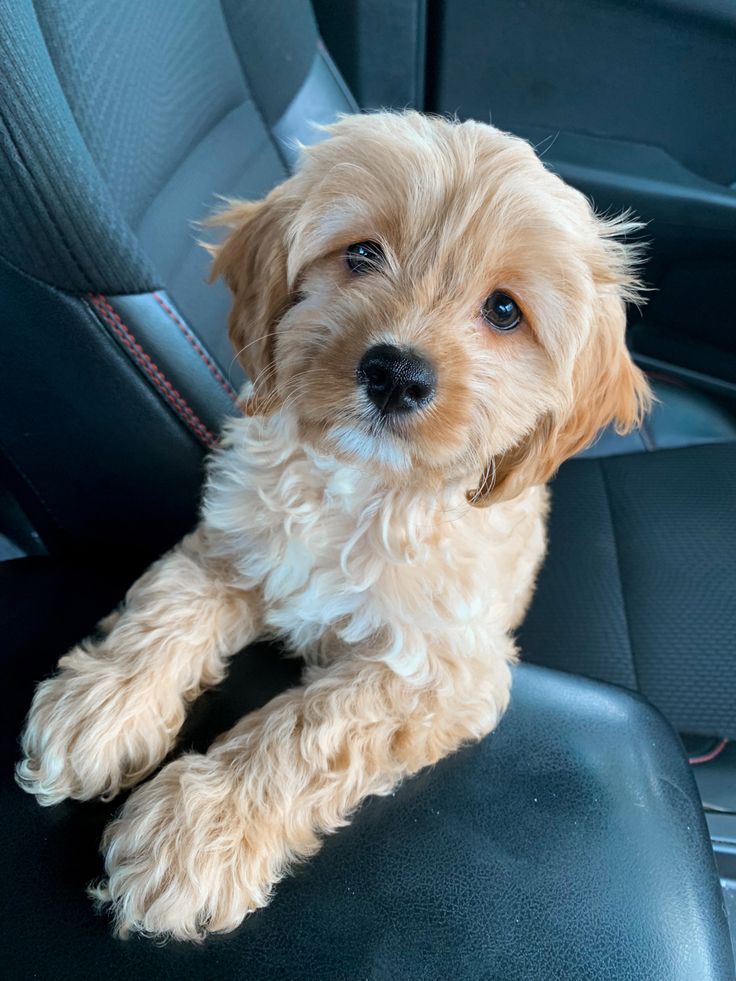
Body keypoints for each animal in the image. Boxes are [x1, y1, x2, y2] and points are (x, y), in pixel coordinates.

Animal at [15, 111, 648, 936]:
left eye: (505, 310)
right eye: (362, 253)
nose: (396, 372)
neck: (363, 483)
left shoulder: (441, 669)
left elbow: (315, 729)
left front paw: (198, 828)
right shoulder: (230, 541)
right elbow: (167, 605)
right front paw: (101, 705)